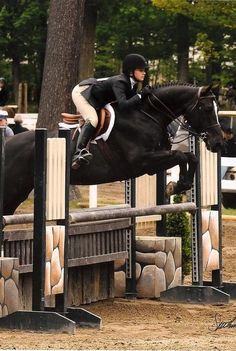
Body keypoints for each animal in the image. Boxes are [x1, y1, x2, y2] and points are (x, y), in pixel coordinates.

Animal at [2, 84, 224, 216]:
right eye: (206, 109)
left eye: (217, 109)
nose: (219, 143)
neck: (148, 116)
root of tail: (7, 144)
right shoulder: (142, 161)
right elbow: (181, 155)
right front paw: (176, 186)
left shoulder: (152, 164)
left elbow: (189, 157)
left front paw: (178, 185)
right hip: (12, 189)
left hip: (19, 191)